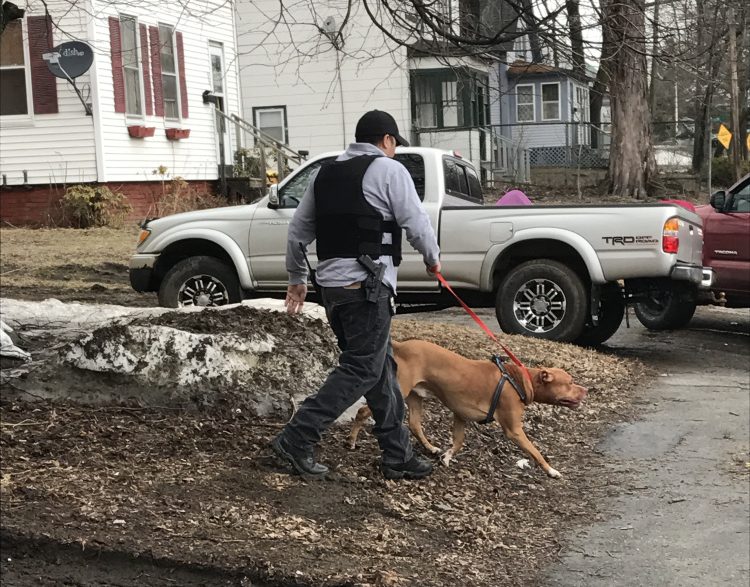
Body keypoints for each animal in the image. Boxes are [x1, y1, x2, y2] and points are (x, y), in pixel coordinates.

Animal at [350, 340, 592, 478]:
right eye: (570, 382)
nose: (586, 389)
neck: (518, 380)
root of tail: (401, 345)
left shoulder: (460, 415)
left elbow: (458, 442)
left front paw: (447, 456)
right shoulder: (514, 430)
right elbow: (535, 451)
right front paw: (551, 470)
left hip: (416, 396)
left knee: (415, 425)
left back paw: (431, 448)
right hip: (399, 389)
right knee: (363, 412)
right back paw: (352, 441)